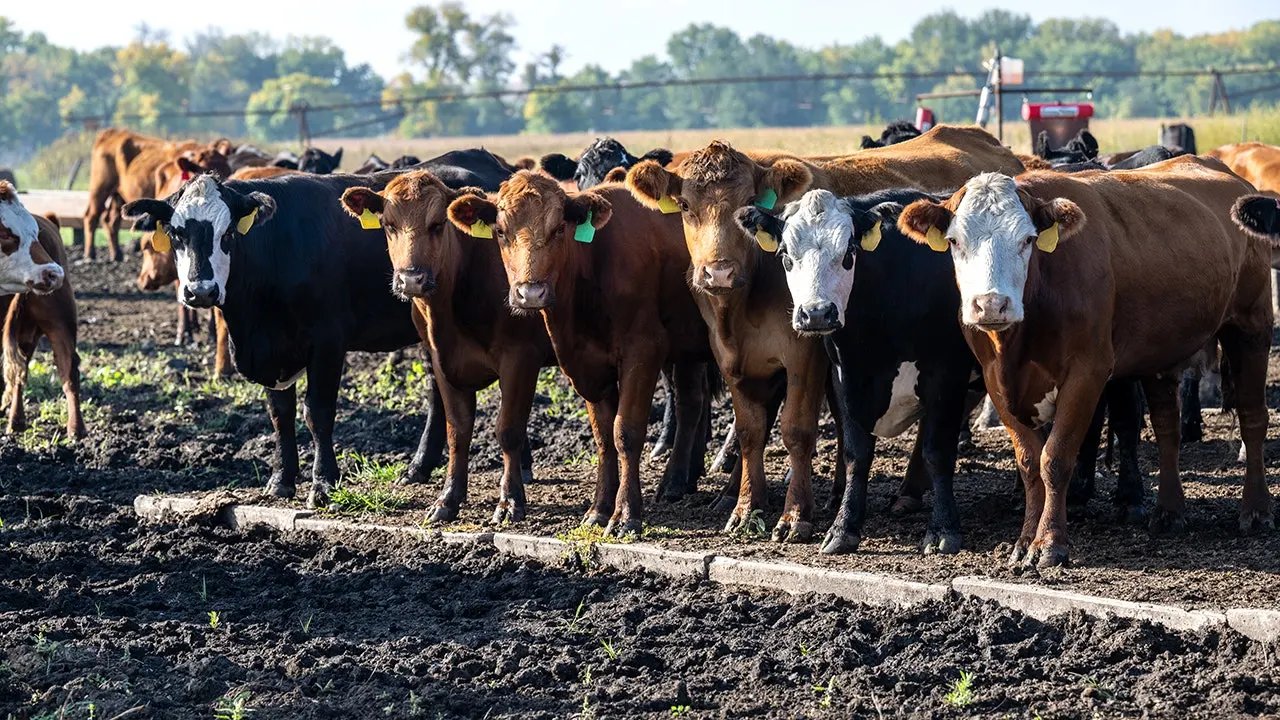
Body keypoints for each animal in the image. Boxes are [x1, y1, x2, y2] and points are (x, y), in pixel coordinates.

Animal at [0, 186, 82, 439]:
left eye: (33, 233)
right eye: (6, 233)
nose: (54, 273)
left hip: (61, 320)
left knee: (69, 371)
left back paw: (76, 430)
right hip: (30, 330)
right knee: (22, 370)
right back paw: (16, 421)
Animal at [339, 169, 552, 523]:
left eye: (437, 224)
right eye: (389, 224)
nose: (411, 279)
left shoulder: (520, 358)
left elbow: (508, 430)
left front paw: (509, 501)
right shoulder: (442, 362)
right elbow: (458, 430)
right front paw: (448, 499)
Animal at [447, 172, 711, 536]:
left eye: (559, 228)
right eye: (500, 231)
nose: (530, 293)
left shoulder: (644, 349)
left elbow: (625, 432)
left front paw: (626, 514)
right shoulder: (586, 365)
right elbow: (603, 437)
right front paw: (599, 508)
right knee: (691, 403)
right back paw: (675, 482)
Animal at [625, 125, 1025, 541]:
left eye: (748, 201)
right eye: (686, 206)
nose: (719, 272)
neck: (742, 305)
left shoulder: (806, 356)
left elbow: (797, 430)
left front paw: (795, 515)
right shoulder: (732, 358)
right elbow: (751, 431)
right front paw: (745, 507)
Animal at [896, 156, 1272, 568]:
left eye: (1027, 240)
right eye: (954, 241)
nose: (991, 304)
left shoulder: (1087, 372)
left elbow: (1056, 458)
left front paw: (1049, 544)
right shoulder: (996, 380)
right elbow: (1029, 463)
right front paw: (1024, 540)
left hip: (1251, 328)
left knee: (1253, 418)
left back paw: (1256, 511)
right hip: (1162, 351)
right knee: (1167, 428)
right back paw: (1169, 511)